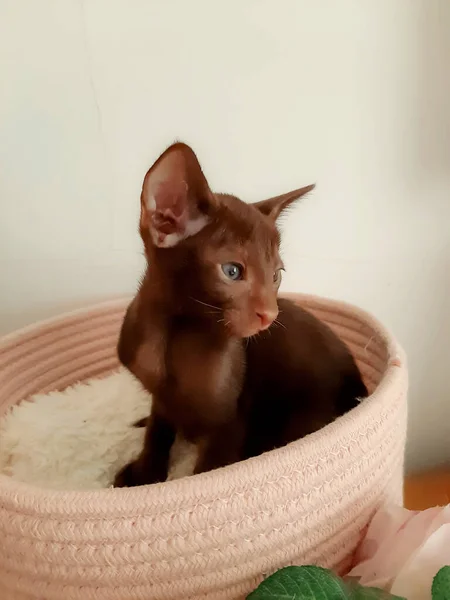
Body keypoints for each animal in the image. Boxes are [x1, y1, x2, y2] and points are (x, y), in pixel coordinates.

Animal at [114, 142, 368, 488]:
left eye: (276, 275)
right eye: (232, 271)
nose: (270, 314)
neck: (174, 334)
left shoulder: (231, 419)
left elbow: (211, 470)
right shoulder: (159, 396)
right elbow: (157, 429)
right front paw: (144, 473)